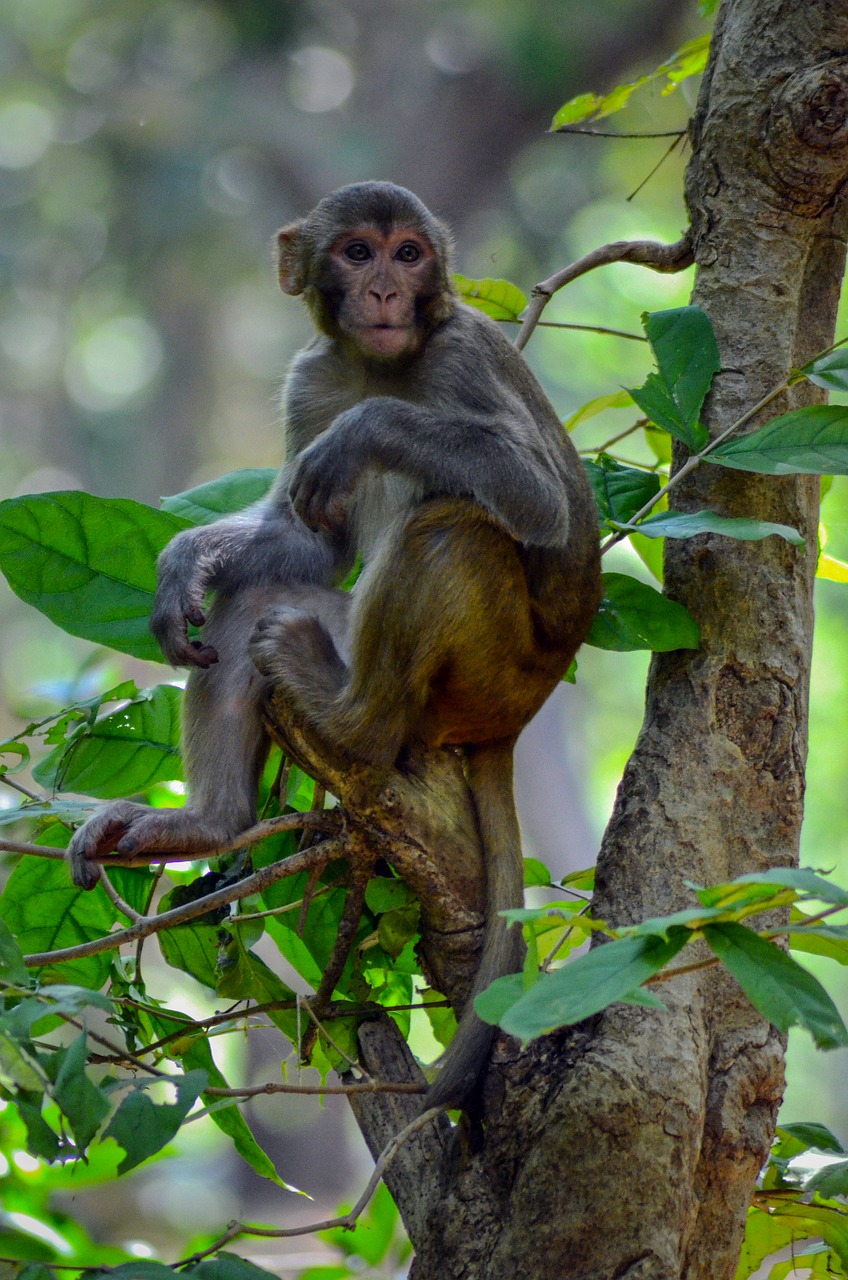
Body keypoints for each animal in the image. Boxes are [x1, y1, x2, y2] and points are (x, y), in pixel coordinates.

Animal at [68, 183, 604, 1111]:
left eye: (409, 254)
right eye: (358, 252)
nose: (386, 291)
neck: (380, 364)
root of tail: (516, 722)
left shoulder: (463, 354)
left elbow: (541, 503)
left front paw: (369, 428)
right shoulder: (311, 377)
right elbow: (308, 545)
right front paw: (185, 563)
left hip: (489, 674)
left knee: (448, 529)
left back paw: (354, 723)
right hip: (356, 637)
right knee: (259, 603)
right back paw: (211, 822)